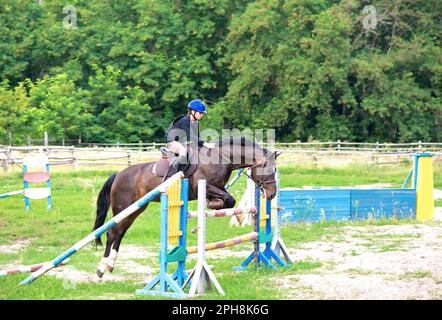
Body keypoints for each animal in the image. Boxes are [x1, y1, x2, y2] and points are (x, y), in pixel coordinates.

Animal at [91, 136, 282, 278]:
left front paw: (214, 204)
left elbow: (230, 201)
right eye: (267, 169)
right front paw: (214, 204)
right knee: (112, 233)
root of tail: (118, 174)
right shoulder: (203, 186)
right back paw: (101, 269)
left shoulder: (218, 188)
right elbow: (229, 199)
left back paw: (110, 265)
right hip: (123, 207)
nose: (272, 194)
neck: (221, 158)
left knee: (120, 233)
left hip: (136, 209)